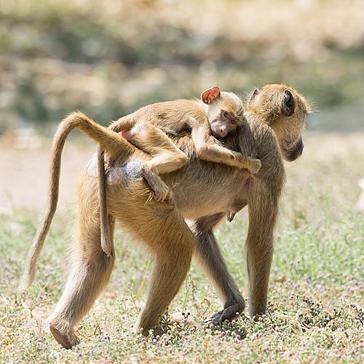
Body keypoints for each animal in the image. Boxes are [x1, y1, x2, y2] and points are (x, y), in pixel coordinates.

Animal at [111, 87, 262, 202]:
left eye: (233, 122)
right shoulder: (200, 118)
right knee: (179, 157)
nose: (223, 130)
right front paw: (250, 163)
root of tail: (133, 116)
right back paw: (149, 170)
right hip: (146, 130)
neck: (202, 107)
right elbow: (204, 149)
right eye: (225, 114)